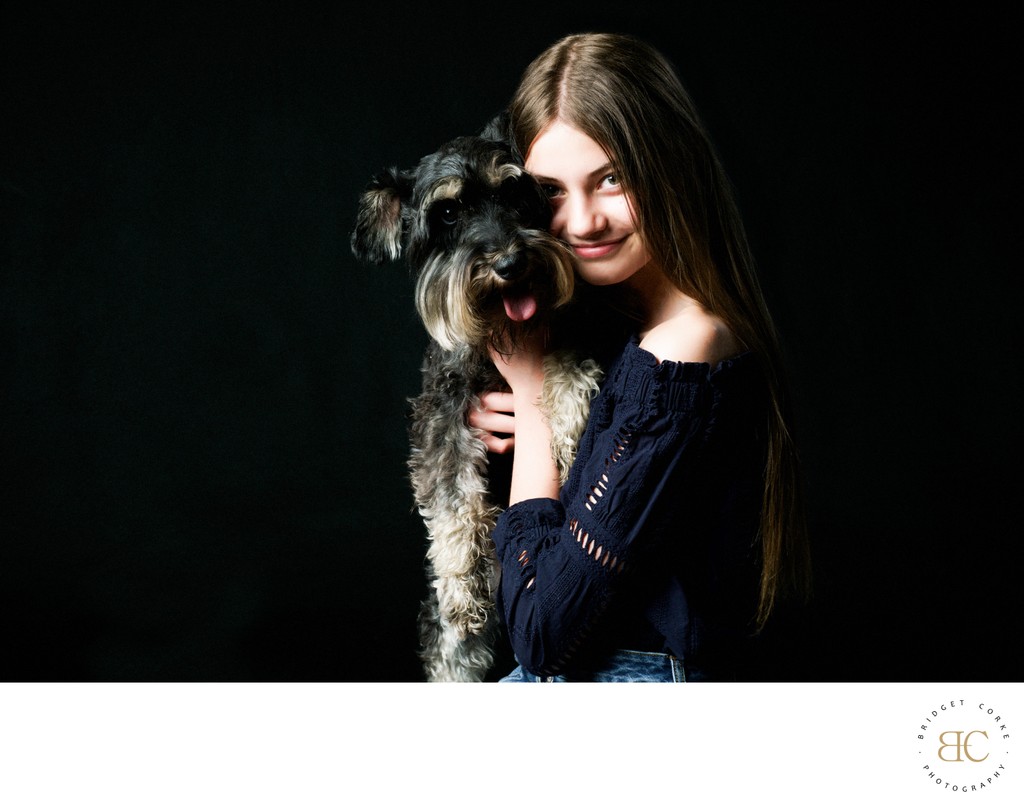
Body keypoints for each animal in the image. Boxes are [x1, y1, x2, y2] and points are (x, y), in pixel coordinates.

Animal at [354, 115, 606, 680]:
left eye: (514, 193)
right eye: (448, 212)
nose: (511, 262)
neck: (501, 338)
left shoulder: (565, 338)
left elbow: (569, 367)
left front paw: (569, 428)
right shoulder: (441, 421)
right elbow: (453, 503)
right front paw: (460, 585)